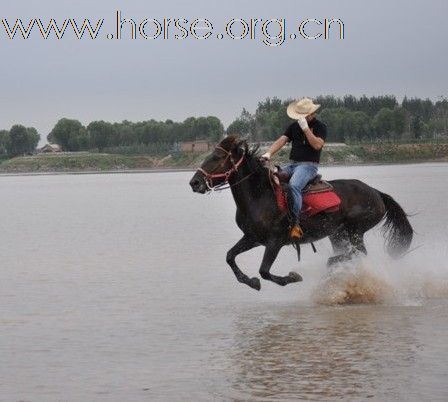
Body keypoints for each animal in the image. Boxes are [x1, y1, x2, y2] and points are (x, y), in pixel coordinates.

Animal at [189, 137, 412, 290]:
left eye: (217, 158)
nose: (194, 182)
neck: (260, 195)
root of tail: (377, 193)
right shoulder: (253, 237)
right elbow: (229, 256)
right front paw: (250, 281)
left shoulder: (275, 241)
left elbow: (264, 271)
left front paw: (292, 277)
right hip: (337, 233)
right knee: (352, 253)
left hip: (356, 229)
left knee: (359, 253)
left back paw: (331, 265)